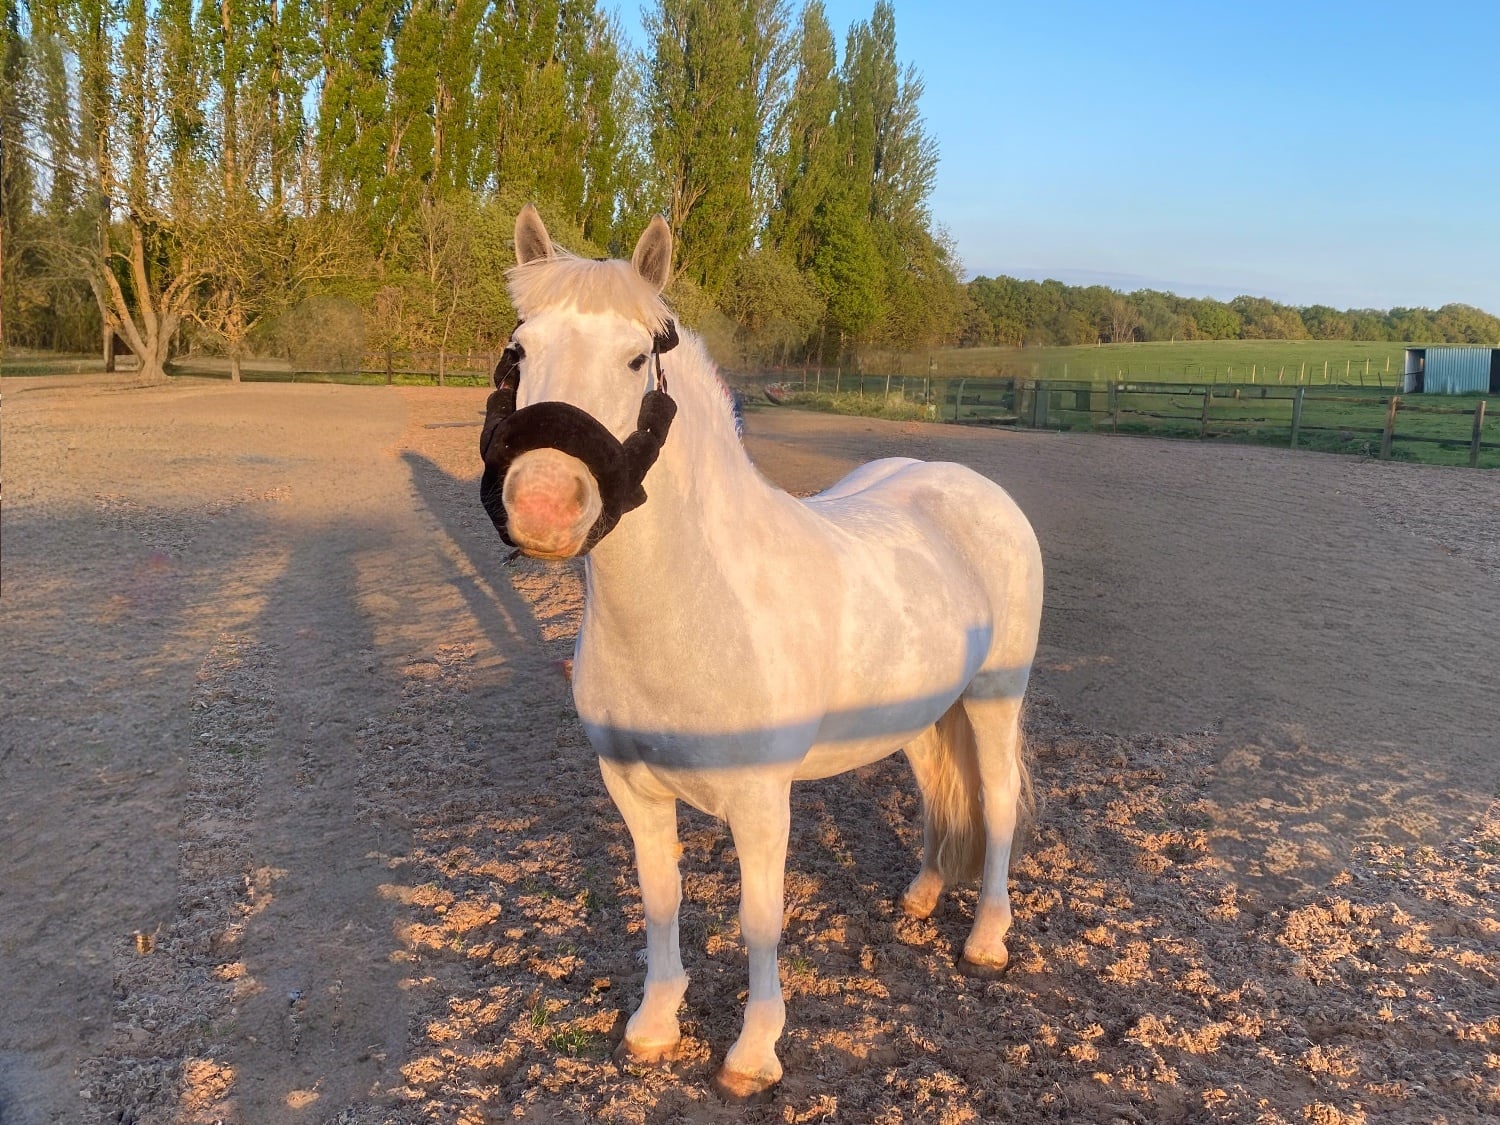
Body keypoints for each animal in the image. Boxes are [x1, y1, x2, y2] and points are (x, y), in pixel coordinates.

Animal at [479, 205, 1044, 1101]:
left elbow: (758, 920)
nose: (542, 506)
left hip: (995, 696)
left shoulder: (760, 800)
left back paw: (987, 937)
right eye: (520, 350)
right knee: (936, 790)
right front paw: (653, 1025)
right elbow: (660, 896)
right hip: (925, 709)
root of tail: (969, 487)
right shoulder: (632, 787)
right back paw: (921, 896)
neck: (699, 603)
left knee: (995, 803)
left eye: (635, 358)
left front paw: (753, 1052)